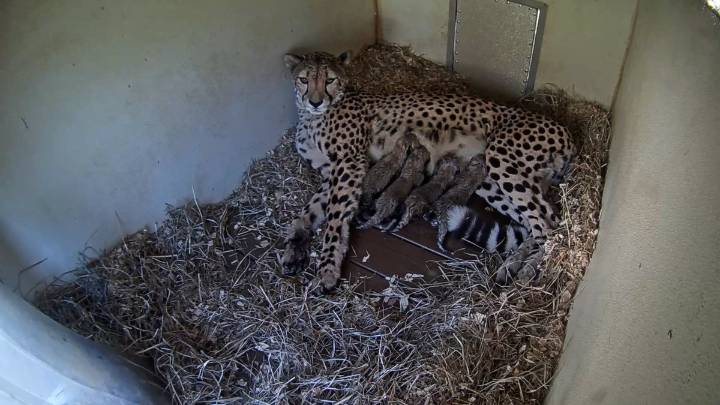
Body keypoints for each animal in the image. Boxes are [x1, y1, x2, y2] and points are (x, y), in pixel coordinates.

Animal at [280, 50, 575, 291]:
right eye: (304, 80)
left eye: (330, 79)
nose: (316, 101)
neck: (312, 117)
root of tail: (565, 131)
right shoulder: (331, 172)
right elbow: (308, 212)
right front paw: (294, 247)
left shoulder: (349, 163)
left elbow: (334, 218)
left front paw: (327, 270)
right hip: (491, 180)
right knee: (534, 224)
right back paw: (512, 265)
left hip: (502, 160)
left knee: (549, 222)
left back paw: (524, 268)